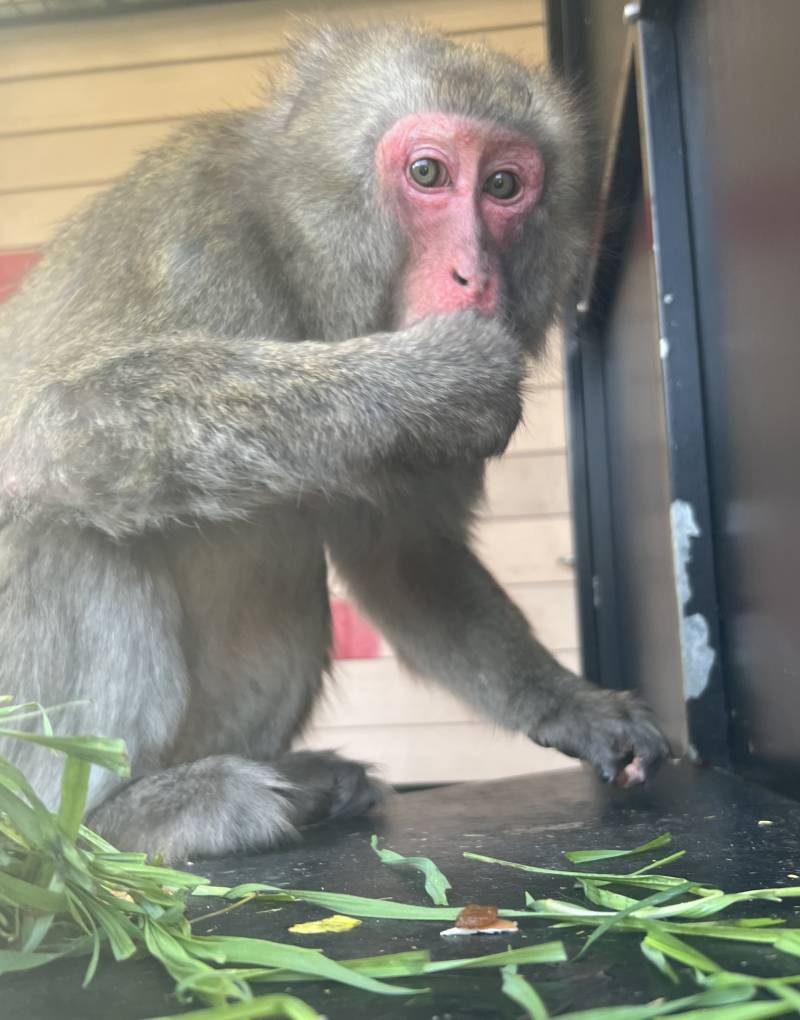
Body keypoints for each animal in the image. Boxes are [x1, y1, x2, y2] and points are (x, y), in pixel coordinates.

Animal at [0, 23, 668, 862]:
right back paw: (111, 829)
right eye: (428, 173)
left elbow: (404, 556)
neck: (293, 264)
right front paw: (428, 380)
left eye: (504, 186)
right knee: (63, 518)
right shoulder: (182, 235)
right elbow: (48, 422)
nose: (474, 277)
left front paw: (569, 704)